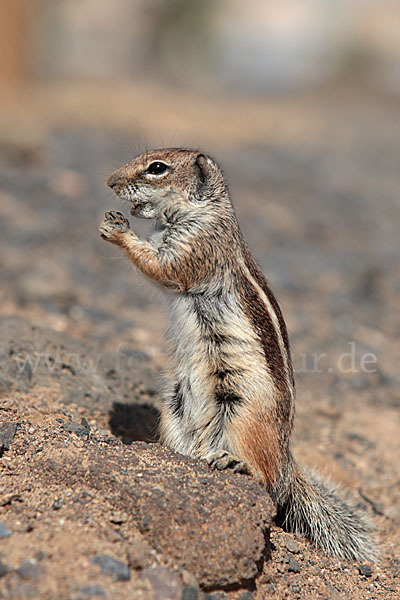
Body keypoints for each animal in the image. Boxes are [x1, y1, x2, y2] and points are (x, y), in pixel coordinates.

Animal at [98, 148, 376, 560]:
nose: (110, 182)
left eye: (157, 168)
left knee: (267, 481)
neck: (204, 211)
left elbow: (161, 267)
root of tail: (286, 458)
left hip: (245, 416)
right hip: (175, 406)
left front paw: (116, 229)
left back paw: (235, 464)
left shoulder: (195, 247)